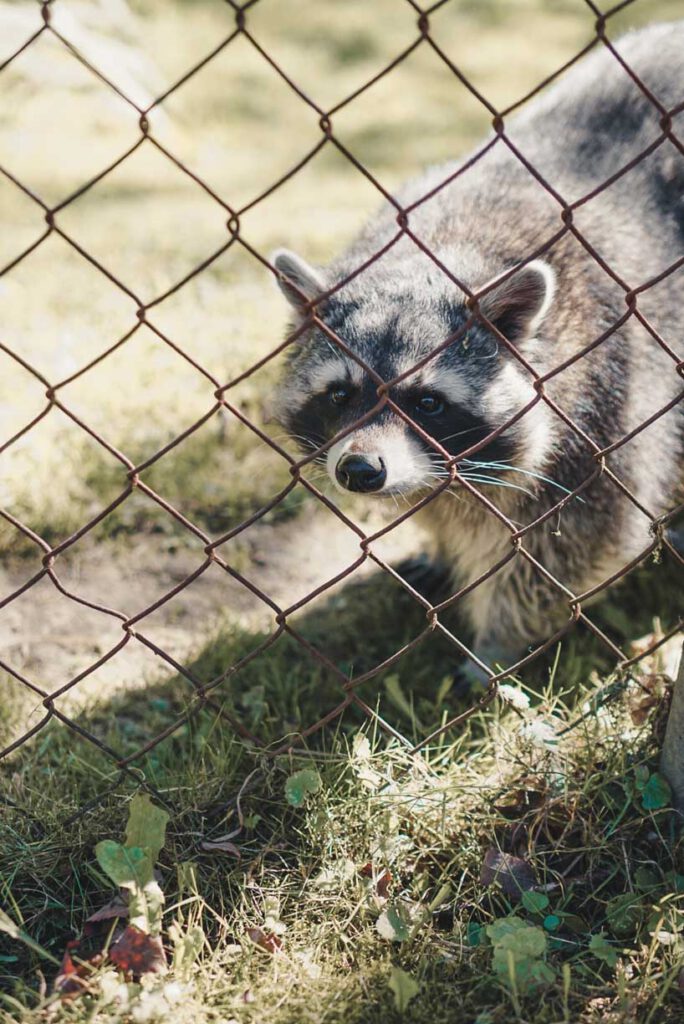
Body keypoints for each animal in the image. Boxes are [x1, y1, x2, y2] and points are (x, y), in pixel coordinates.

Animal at [270, 19, 679, 684]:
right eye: (339, 394)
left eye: (429, 404)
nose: (360, 471)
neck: (444, 249)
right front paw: (439, 540)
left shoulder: (605, 402)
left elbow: (571, 548)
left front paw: (497, 646)